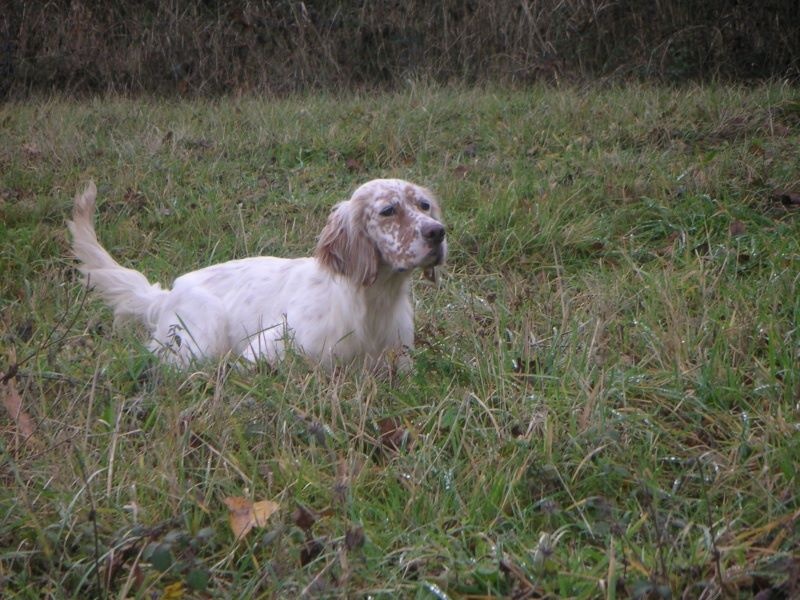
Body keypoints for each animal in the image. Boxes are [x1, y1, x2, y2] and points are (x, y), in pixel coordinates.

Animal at [68, 179, 447, 371]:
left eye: (424, 205)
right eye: (388, 210)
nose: (438, 232)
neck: (371, 302)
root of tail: (167, 294)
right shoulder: (265, 350)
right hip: (201, 339)